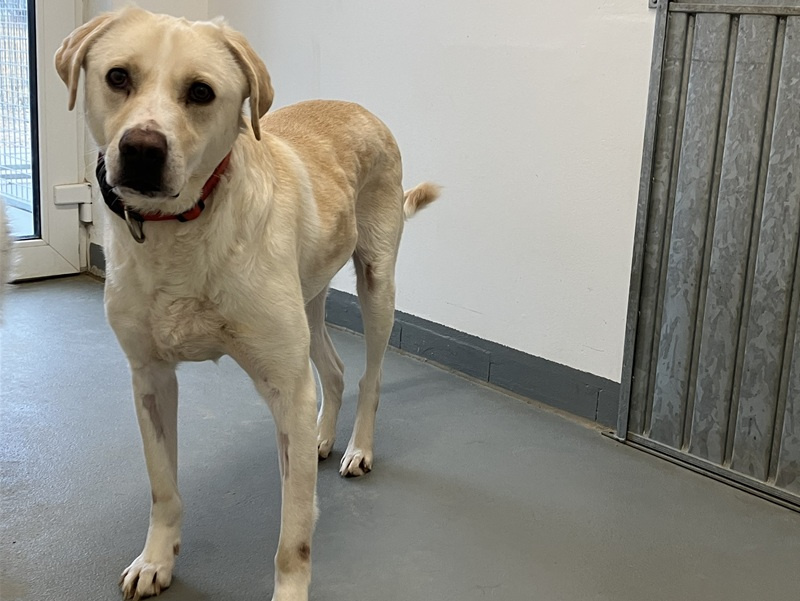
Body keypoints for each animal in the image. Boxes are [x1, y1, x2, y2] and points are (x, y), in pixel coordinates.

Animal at [56, 7, 439, 601]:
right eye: (118, 76)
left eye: (200, 91)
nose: (141, 148)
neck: (182, 229)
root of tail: (358, 106)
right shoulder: (150, 380)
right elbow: (163, 489)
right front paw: (156, 559)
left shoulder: (286, 385)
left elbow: (294, 532)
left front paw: (289, 589)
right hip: (309, 301)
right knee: (333, 370)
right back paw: (322, 437)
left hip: (377, 284)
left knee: (370, 377)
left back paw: (358, 447)